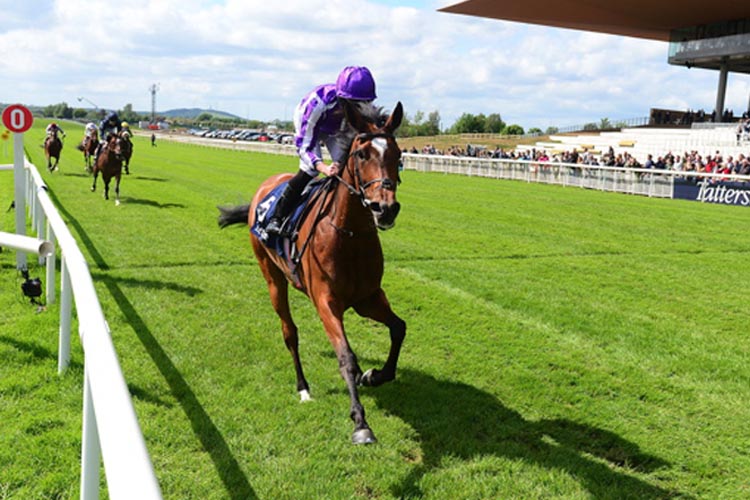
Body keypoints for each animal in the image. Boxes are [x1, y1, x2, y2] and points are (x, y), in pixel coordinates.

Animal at [219, 99, 406, 444]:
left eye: (398, 154)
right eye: (362, 154)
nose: (385, 208)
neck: (349, 235)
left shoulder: (368, 298)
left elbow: (398, 328)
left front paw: (374, 375)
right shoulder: (326, 301)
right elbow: (346, 356)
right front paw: (361, 422)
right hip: (272, 277)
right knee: (289, 333)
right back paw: (303, 388)